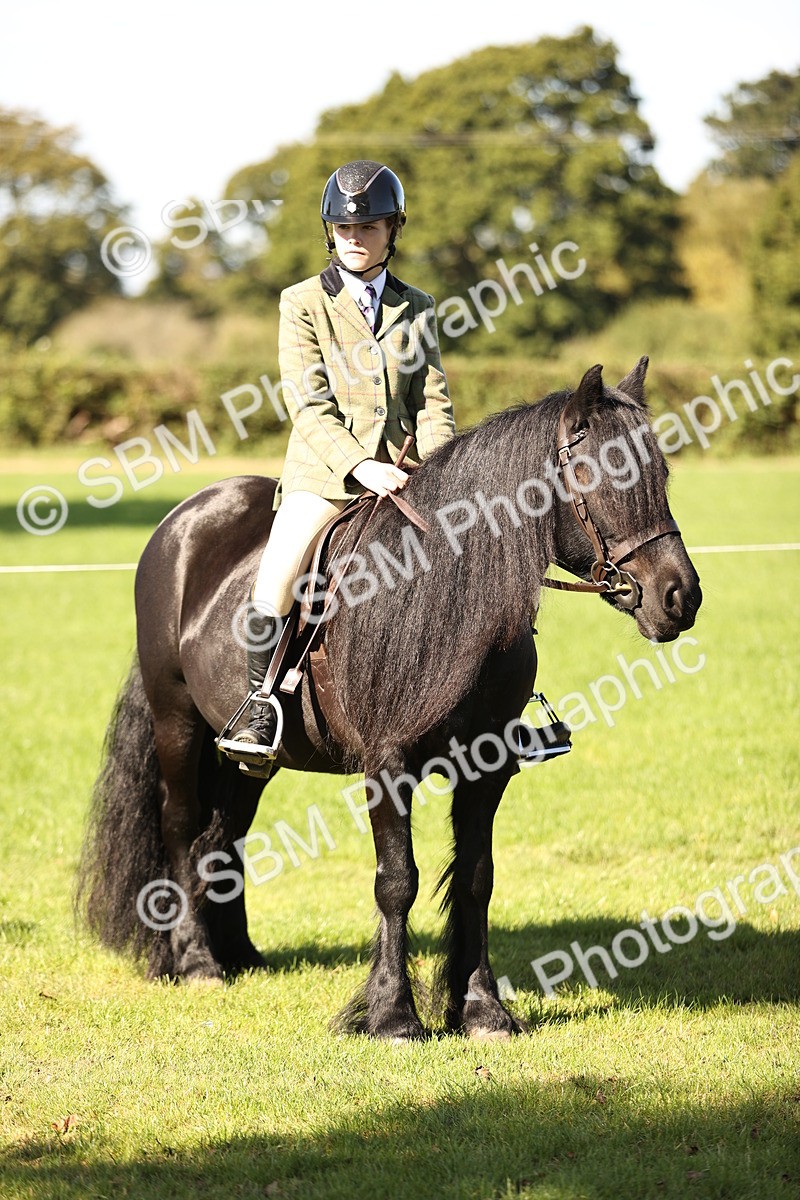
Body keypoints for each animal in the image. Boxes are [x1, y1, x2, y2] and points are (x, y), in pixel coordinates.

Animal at [77, 358, 702, 1041]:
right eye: (600, 470)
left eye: (662, 475)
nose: (680, 596)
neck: (444, 593)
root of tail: (184, 518)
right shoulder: (386, 762)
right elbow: (397, 880)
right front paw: (392, 1014)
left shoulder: (487, 768)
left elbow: (477, 879)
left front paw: (480, 1008)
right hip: (178, 724)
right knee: (184, 827)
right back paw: (197, 961)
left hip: (247, 760)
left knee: (227, 832)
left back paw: (240, 953)